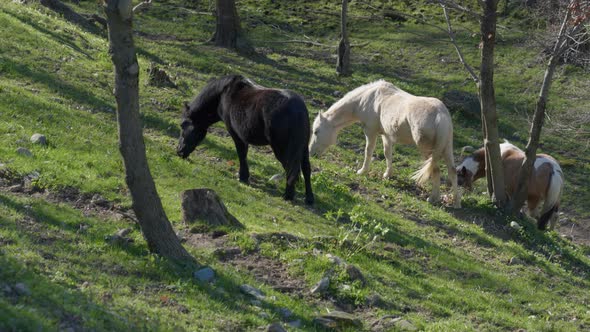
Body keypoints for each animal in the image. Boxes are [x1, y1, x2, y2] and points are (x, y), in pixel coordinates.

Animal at [177, 75, 314, 205]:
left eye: (182, 125)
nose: (178, 151)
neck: (222, 95)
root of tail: (299, 109)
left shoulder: (236, 134)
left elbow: (241, 154)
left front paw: (242, 177)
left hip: (282, 149)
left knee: (291, 169)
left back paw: (288, 196)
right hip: (303, 148)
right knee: (306, 169)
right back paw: (309, 198)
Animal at [310, 79, 462, 206]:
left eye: (316, 131)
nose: (311, 153)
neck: (368, 98)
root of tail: (441, 115)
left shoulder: (370, 132)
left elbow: (368, 151)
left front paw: (362, 171)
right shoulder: (386, 135)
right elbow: (387, 153)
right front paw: (387, 175)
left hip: (427, 150)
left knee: (435, 170)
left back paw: (432, 198)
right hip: (446, 147)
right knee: (452, 171)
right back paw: (456, 202)